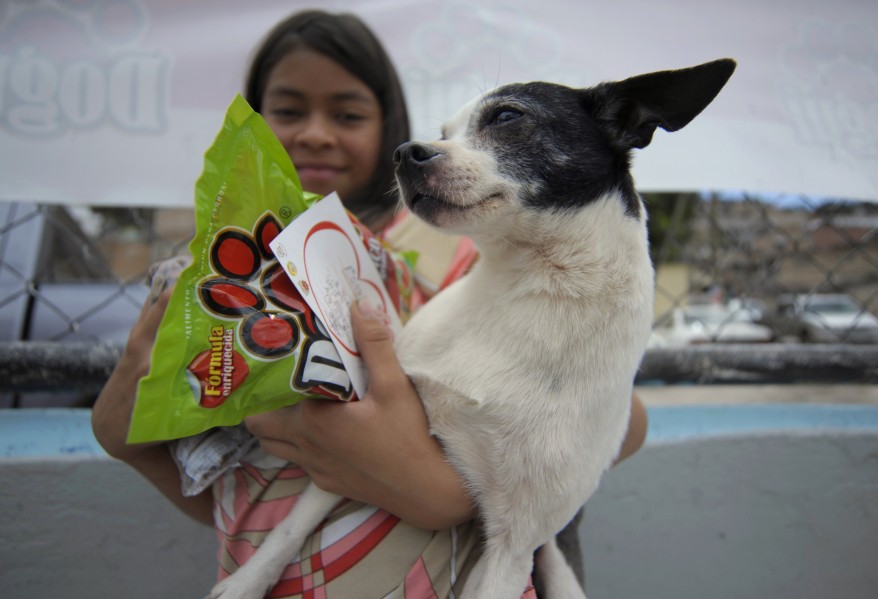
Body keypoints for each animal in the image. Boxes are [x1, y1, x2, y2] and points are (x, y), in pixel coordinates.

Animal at [211, 57, 736, 599]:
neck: (525, 283)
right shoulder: (344, 454)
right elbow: (290, 526)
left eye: (507, 116)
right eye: (444, 133)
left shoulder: (512, 547)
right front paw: (246, 582)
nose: (405, 152)